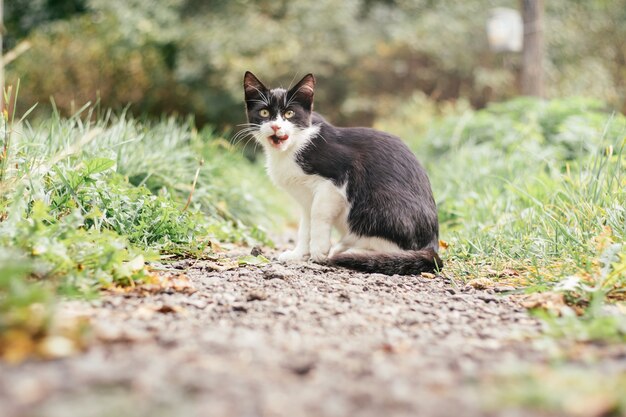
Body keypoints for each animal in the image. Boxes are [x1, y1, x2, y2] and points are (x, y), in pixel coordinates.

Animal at [241, 71, 442, 272]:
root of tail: (433, 244)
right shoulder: (306, 197)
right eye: (264, 112)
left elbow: (318, 213)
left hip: (374, 209)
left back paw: (354, 253)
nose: (275, 126)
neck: (294, 146)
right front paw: (299, 254)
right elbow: (305, 223)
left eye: (289, 113)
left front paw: (318, 250)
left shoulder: (338, 178)